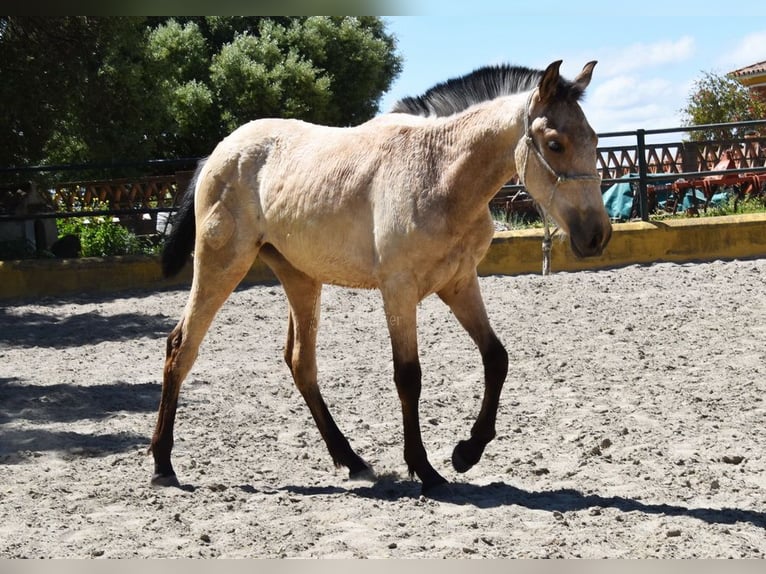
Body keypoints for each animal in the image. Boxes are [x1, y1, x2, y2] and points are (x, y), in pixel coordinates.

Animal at [153, 60, 616, 498]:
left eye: (594, 139)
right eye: (555, 143)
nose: (596, 235)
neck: (438, 171)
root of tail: (217, 154)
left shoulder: (459, 283)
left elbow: (496, 358)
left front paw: (467, 452)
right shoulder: (399, 291)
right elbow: (408, 377)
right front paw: (426, 470)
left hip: (300, 278)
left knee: (301, 363)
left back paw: (352, 459)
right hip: (221, 264)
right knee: (182, 346)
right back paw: (162, 463)